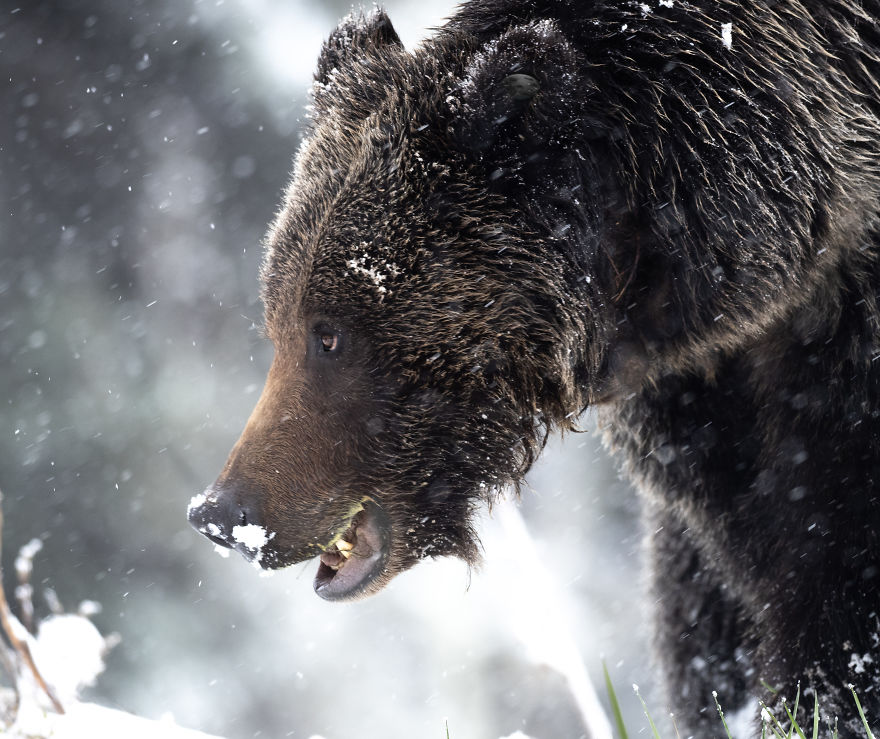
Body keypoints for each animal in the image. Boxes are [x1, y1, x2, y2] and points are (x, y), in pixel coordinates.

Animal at [188, 1, 880, 734]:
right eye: (278, 317)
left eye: (330, 334)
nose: (221, 513)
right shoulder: (704, 422)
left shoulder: (835, 367)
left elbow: (832, 599)